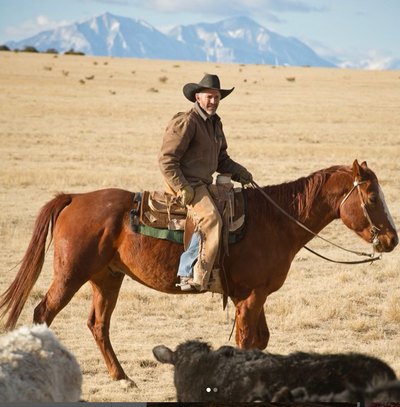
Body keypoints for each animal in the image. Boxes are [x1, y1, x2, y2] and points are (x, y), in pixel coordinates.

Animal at [0, 160, 396, 386]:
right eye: (372, 198)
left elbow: (261, 341)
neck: (276, 221)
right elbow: (247, 342)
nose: (392, 239)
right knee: (43, 312)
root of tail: (74, 198)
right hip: (71, 275)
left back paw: (122, 377)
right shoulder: (251, 296)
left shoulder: (253, 296)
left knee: (98, 324)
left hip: (107, 278)